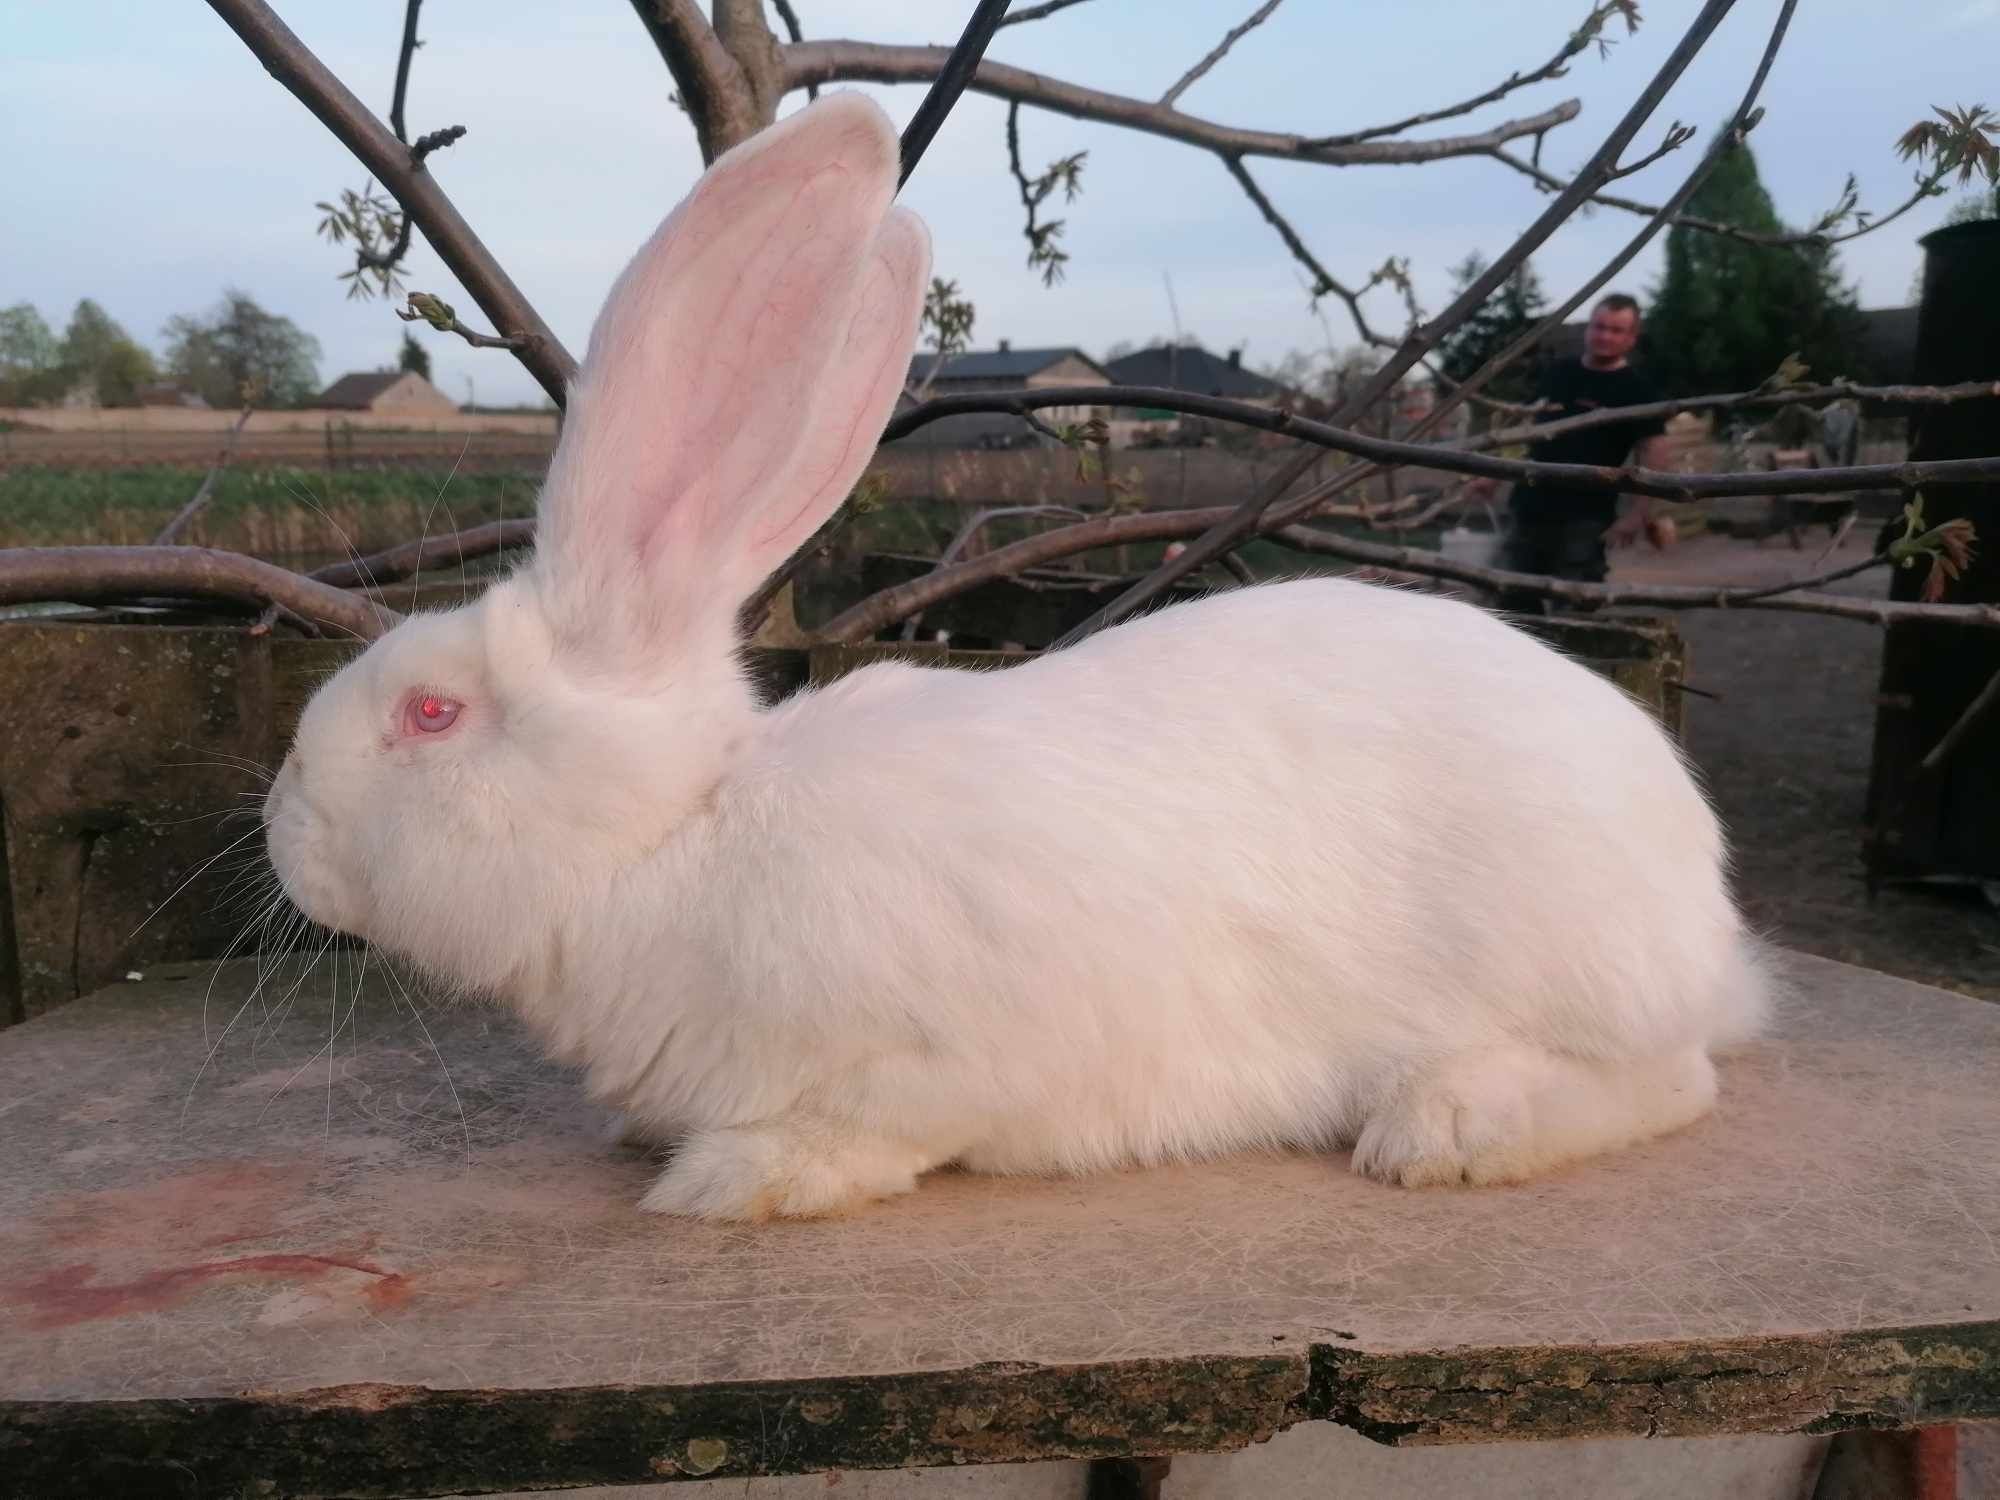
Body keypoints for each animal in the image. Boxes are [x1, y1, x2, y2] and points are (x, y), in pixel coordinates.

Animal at [262, 91, 1768, 1224]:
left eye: (433, 714)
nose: (284, 828)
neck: (675, 839)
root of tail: (1699, 896)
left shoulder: (934, 1053)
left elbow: (873, 1126)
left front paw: (737, 1178)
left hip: (1568, 971)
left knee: (1675, 1082)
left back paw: (1447, 1127)